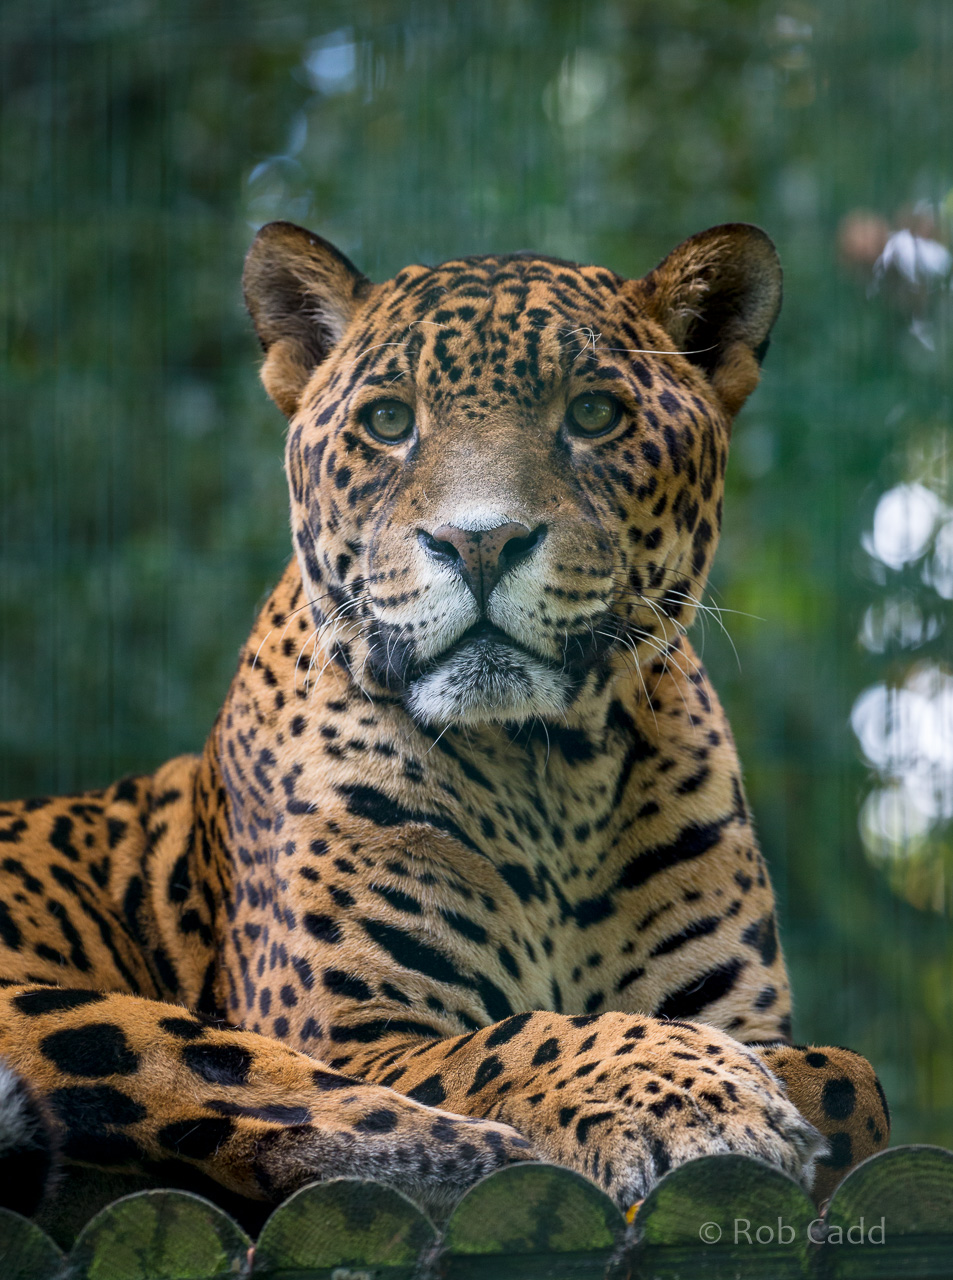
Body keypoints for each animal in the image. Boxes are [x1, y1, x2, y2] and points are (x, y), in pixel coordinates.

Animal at [0, 219, 890, 1231]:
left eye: (594, 414)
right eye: (389, 422)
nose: (479, 542)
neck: (550, 780)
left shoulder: (738, 1010)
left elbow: (848, 1074)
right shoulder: (356, 1036)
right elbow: (507, 1042)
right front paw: (696, 1094)